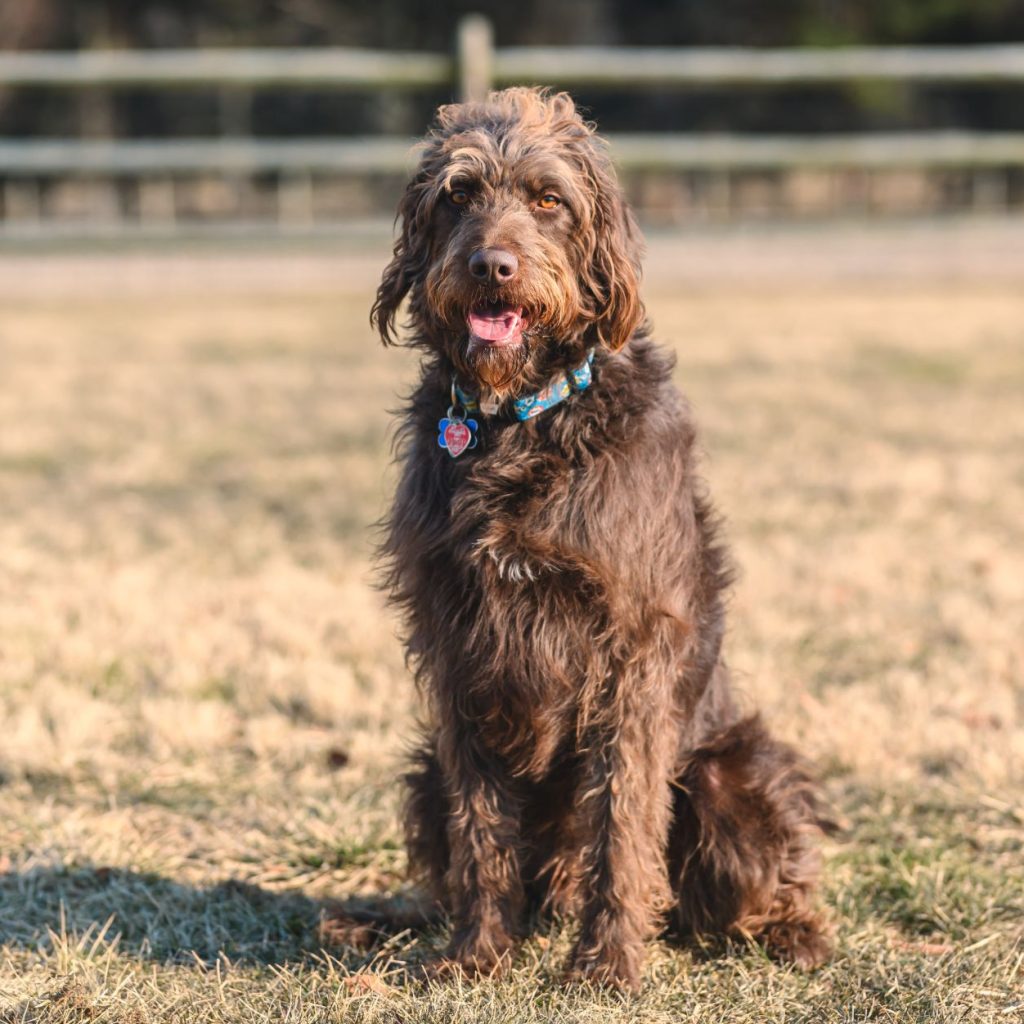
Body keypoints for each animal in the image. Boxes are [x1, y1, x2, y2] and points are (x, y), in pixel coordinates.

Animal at [370, 87, 830, 992]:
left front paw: (608, 964)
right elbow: (481, 828)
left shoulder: (632, 652)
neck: (521, 420)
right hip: (422, 772)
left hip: (731, 777)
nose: (492, 267)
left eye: (549, 200)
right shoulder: (458, 648)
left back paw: (791, 934)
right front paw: (478, 954)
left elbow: (622, 819)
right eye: (458, 196)